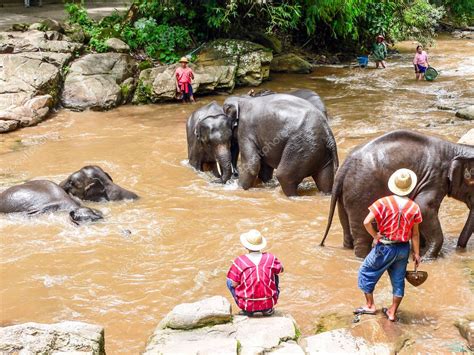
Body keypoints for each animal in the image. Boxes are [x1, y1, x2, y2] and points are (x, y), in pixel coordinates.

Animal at [320, 130, 472, 258]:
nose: (460, 249)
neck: (454, 148)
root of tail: (343, 169)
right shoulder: (434, 178)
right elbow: (423, 207)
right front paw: (428, 257)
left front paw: (420, 250)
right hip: (360, 194)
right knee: (363, 236)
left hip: (344, 196)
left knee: (346, 230)